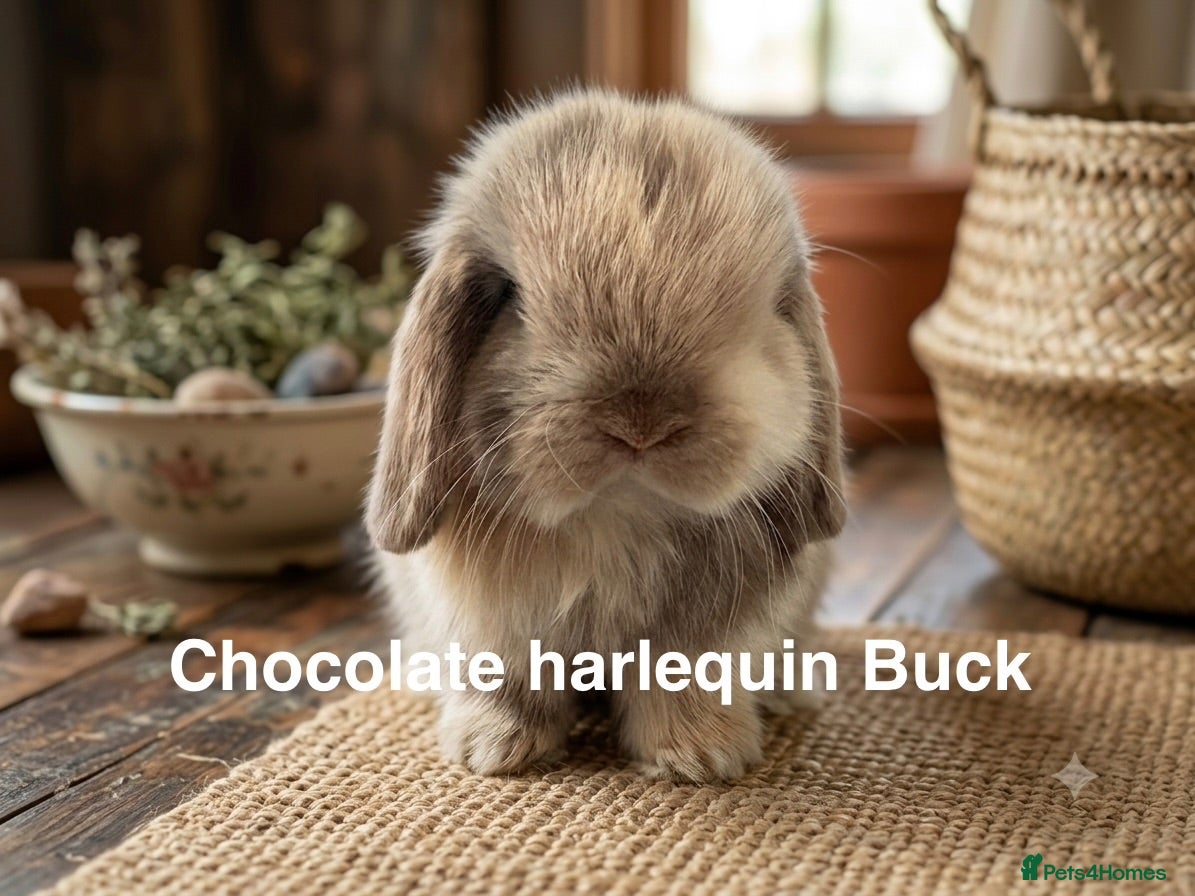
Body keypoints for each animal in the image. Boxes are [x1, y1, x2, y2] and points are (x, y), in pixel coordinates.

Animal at [367, 89, 845, 783]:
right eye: (508, 297)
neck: (618, 517)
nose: (640, 422)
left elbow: (685, 680)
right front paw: (494, 750)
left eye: (766, 315)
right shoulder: (494, 627)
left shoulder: (706, 637)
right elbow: (506, 679)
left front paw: (701, 757)